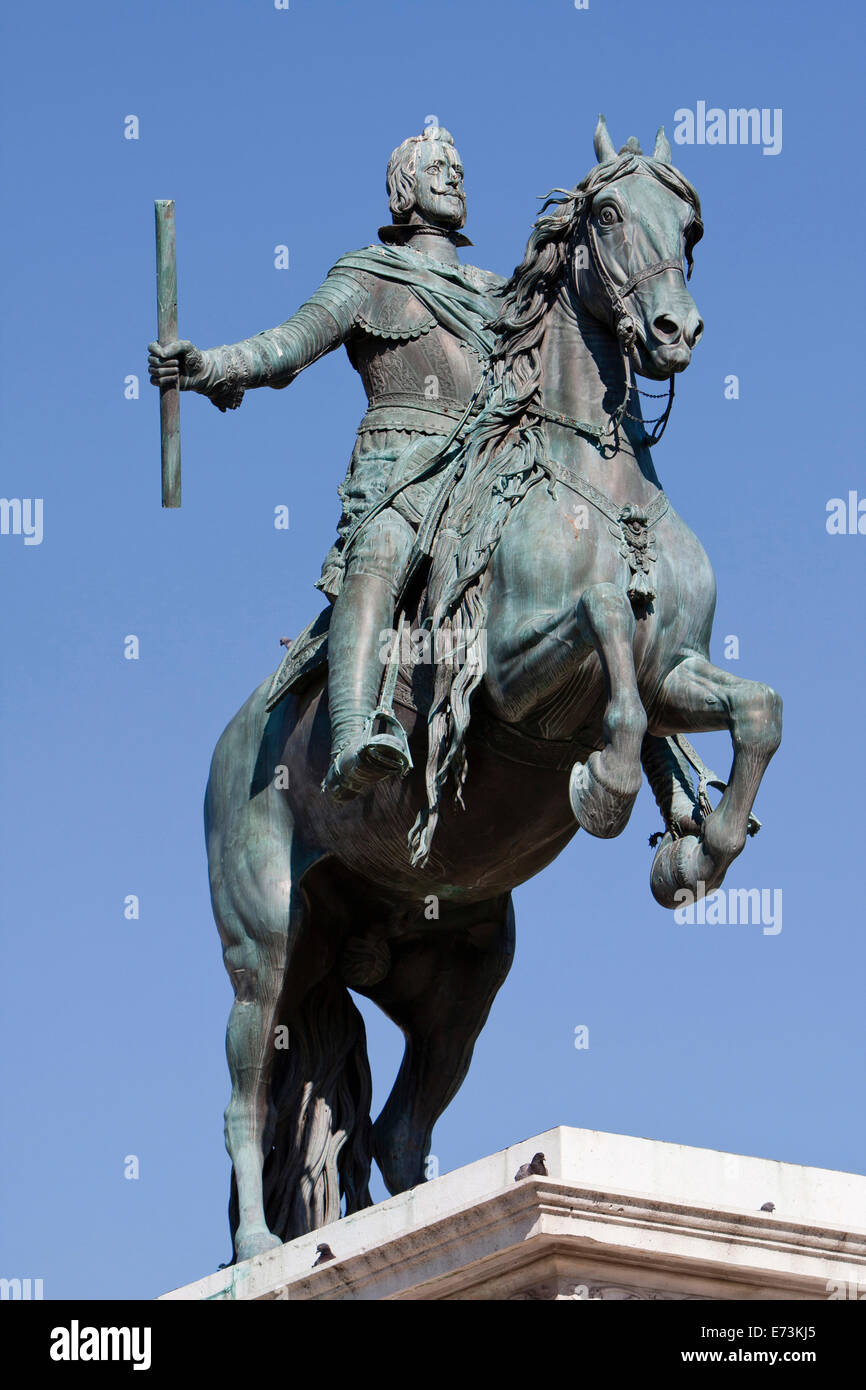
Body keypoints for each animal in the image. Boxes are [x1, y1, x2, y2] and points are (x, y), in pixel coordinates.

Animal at [207, 125, 783, 1267]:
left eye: (690, 224)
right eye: (606, 216)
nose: (674, 331)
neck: (601, 487)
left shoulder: (682, 670)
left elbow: (755, 708)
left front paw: (698, 847)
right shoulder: (511, 688)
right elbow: (604, 633)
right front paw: (607, 786)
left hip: (455, 981)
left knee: (394, 1131)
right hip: (267, 956)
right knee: (246, 1098)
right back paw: (256, 1252)